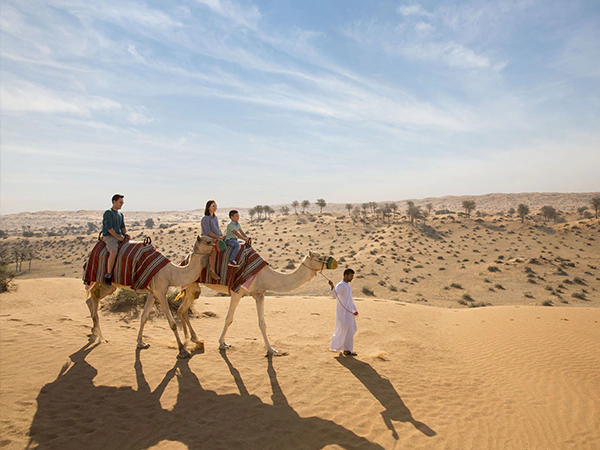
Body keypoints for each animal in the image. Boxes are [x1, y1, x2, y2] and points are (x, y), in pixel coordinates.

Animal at [85, 236, 214, 358]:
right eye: (208, 241)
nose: (218, 242)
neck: (171, 274)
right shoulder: (160, 291)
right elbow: (172, 324)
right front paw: (182, 350)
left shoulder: (153, 293)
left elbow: (144, 317)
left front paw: (141, 343)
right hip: (98, 278)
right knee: (93, 298)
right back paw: (101, 338)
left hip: (109, 286)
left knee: (91, 299)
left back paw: (94, 332)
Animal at [176, 250, 340, 356]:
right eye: (319, 257)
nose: (334, 261)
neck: (265, 276)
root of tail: (184, 260)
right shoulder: (237, 292)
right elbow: (229, 319)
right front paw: (222, 344)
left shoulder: (259, 294)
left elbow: (262, 324)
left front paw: (272, 350)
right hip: (190, 282)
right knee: (183, 309)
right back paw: (188, 343)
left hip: (192, 288)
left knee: (182, 309)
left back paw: (193, 340)